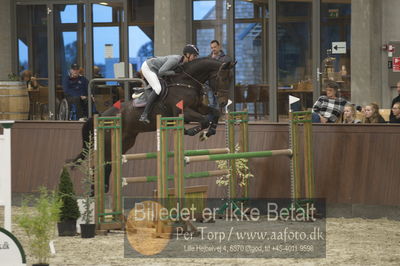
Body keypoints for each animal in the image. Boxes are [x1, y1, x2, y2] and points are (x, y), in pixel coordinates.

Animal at [70, 58, 236, 191]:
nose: (223, 102)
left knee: (108, 164)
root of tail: (102, 115)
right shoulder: (184, 112)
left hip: (126, 142)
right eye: (223, 78)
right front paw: (195, 132)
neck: (186, 82)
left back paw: (102, 190)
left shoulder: (198, 107)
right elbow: (204, 120)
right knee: (99, 165)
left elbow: (214, 113)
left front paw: (209, 132)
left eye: (230, 79)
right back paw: (94, 191)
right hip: (109, 142)